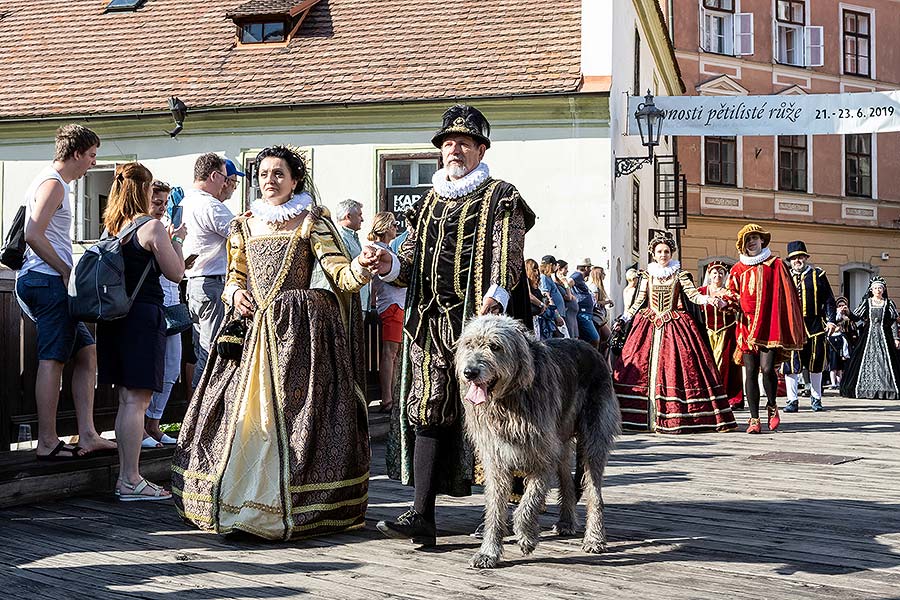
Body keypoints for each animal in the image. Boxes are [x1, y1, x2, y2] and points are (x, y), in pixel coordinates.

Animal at [458, 314, 620, 568]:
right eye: (469, 344)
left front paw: (526, 537)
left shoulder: (541, 456)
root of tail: (592, 348)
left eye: (495, 346)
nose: (470, 372)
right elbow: (495, 507)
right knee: (567, 480)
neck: (509, 400)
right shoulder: (496, 458)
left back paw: (594, 538)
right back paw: (566, 522)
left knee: (594, 490)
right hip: (561, 439)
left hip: (593, 437)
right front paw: (488, 552)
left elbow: (528, 502)